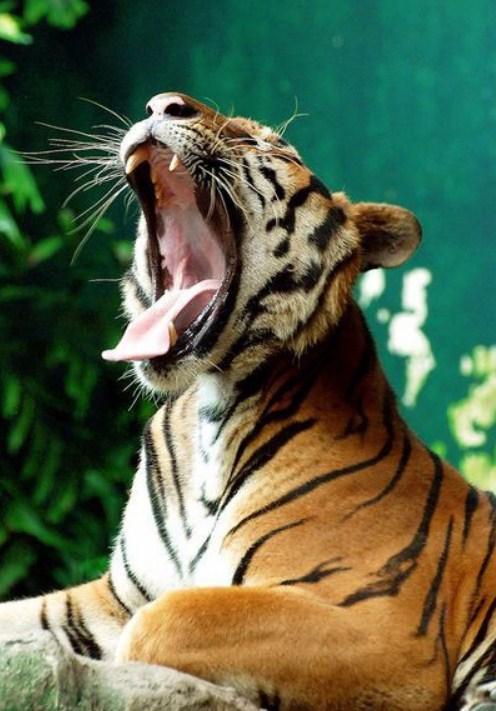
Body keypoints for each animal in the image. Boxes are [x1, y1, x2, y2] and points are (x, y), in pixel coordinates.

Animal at [0, 91, 495, 711]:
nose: (162, 104)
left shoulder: (385, 633)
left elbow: (166, 622)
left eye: (262, 141)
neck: (209, 416)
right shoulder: (118, 595)